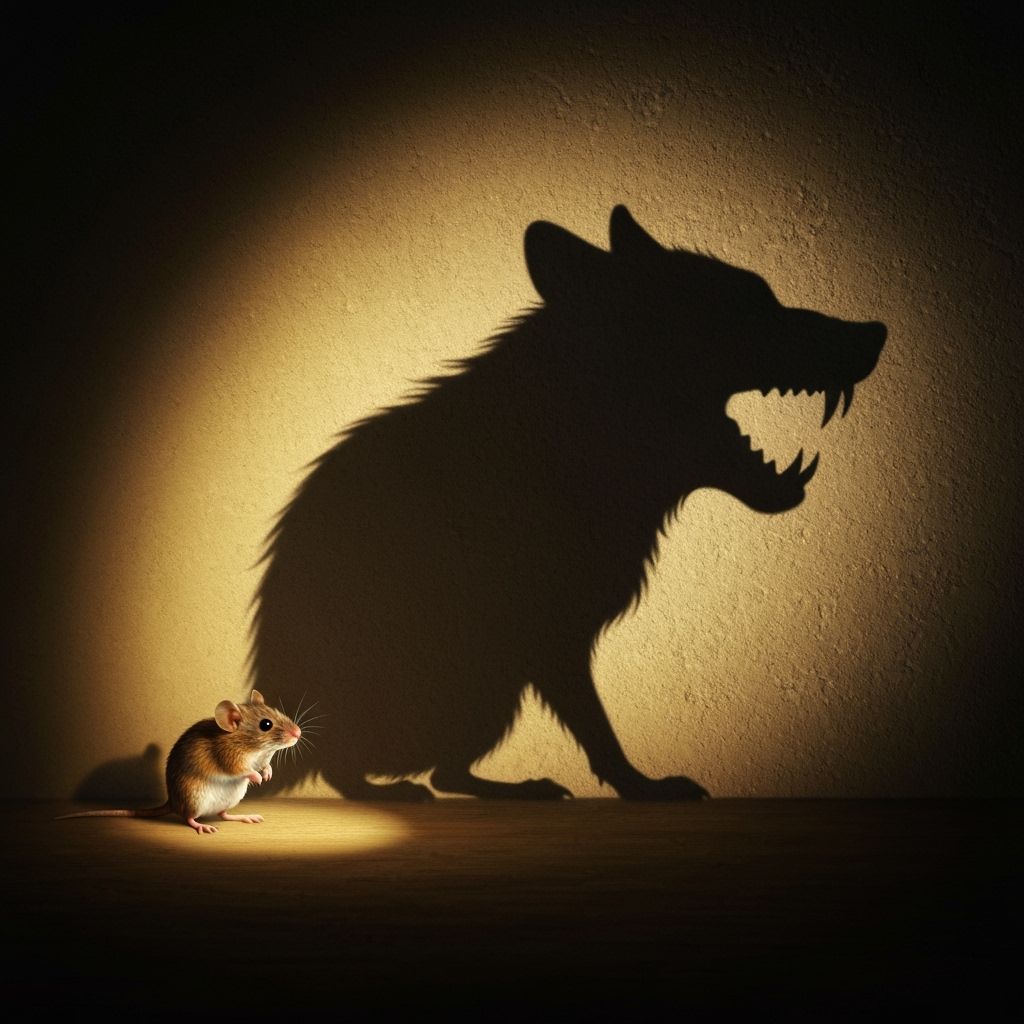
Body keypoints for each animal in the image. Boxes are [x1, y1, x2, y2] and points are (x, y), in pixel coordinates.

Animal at [250, 206, 885, 800]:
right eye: (745, 305)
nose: (876, 331)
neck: (572, 429)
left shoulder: (554, 643)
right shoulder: (553, 639)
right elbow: (597, 727)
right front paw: (641, 787)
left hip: (492, 690)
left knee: (446, 773)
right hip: (479, 679)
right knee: (362, 768)